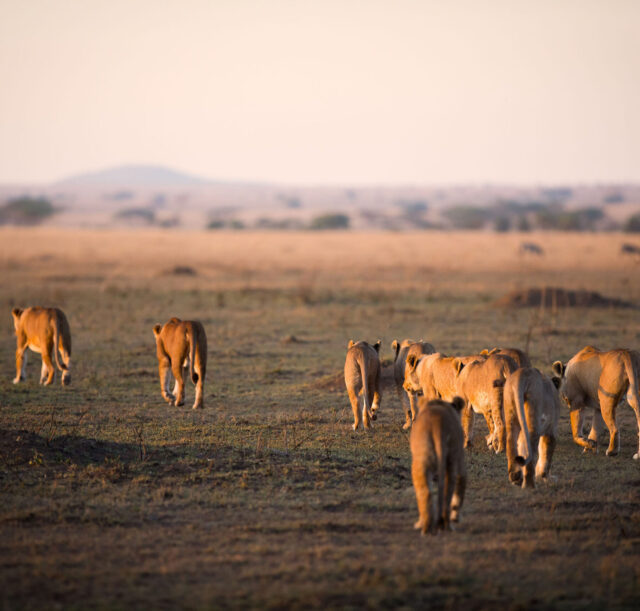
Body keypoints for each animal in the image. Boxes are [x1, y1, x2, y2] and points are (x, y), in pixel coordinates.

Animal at [410, 396, 467, 535]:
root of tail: (438, 425)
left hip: (421, 460)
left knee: (425, 492)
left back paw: (425, 527)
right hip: (451, 458)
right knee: (446, 492)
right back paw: (444, 526)